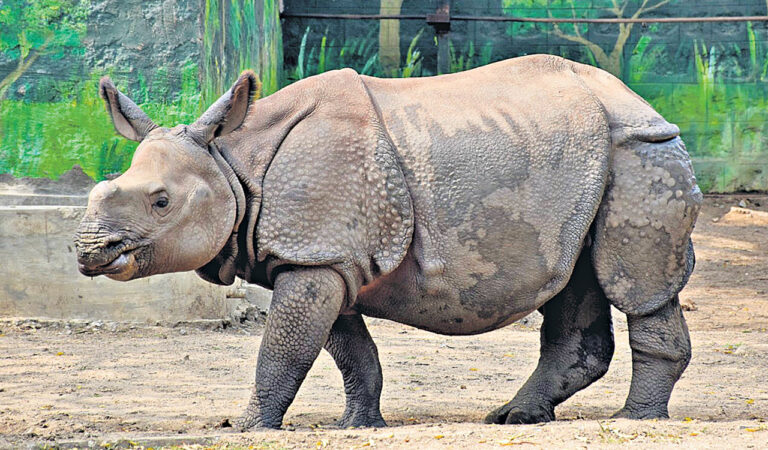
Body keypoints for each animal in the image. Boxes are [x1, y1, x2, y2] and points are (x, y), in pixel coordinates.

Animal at [74, 55, 701, 429]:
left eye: (160, 202)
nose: (87, 252)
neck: (233, 160)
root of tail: (642, 102)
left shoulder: (316, 256)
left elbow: (284, 348)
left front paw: (245, 427)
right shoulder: (327, 260)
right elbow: (349, 350)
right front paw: (360, 425)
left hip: (641, 149)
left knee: (634, 285)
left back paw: (634, 422)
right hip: (589, 161)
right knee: (573, 277)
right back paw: (513, 418)